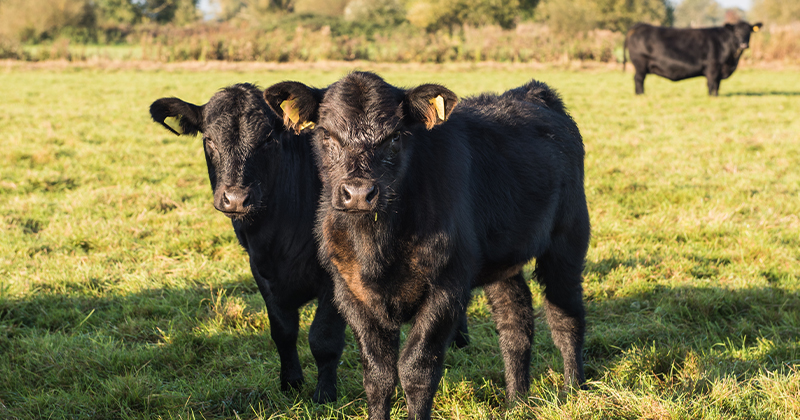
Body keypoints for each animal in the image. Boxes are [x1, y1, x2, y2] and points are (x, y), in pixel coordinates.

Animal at [148, 83, 346, 404]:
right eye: (209, 139)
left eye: (268, 139)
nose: (236, 198)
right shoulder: (261, 270)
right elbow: (283, 331)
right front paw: (290, 383)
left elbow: (323, 338)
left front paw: (324, 394)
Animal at [266, 73, 592, 420]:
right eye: (326, 134)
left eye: (395, 137)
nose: (358, 193)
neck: (377, 247)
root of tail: (532, 91)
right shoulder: (349, 292)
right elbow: (378, 374)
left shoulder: (447, 288)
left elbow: (417, 370)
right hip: (502, 262)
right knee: (515, 323)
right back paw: (517, 401)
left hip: (568, 240)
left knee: (566, 314)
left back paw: (574, 388)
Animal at [624, 20, 764, 95]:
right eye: (736, 32)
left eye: (749, 31)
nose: (743, 44)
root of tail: (639, 25)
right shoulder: (713, 67)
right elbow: (712, 84)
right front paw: (712, 97)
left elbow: (717, 85)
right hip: (640, 64)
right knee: (638, 79)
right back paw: (641, 94)